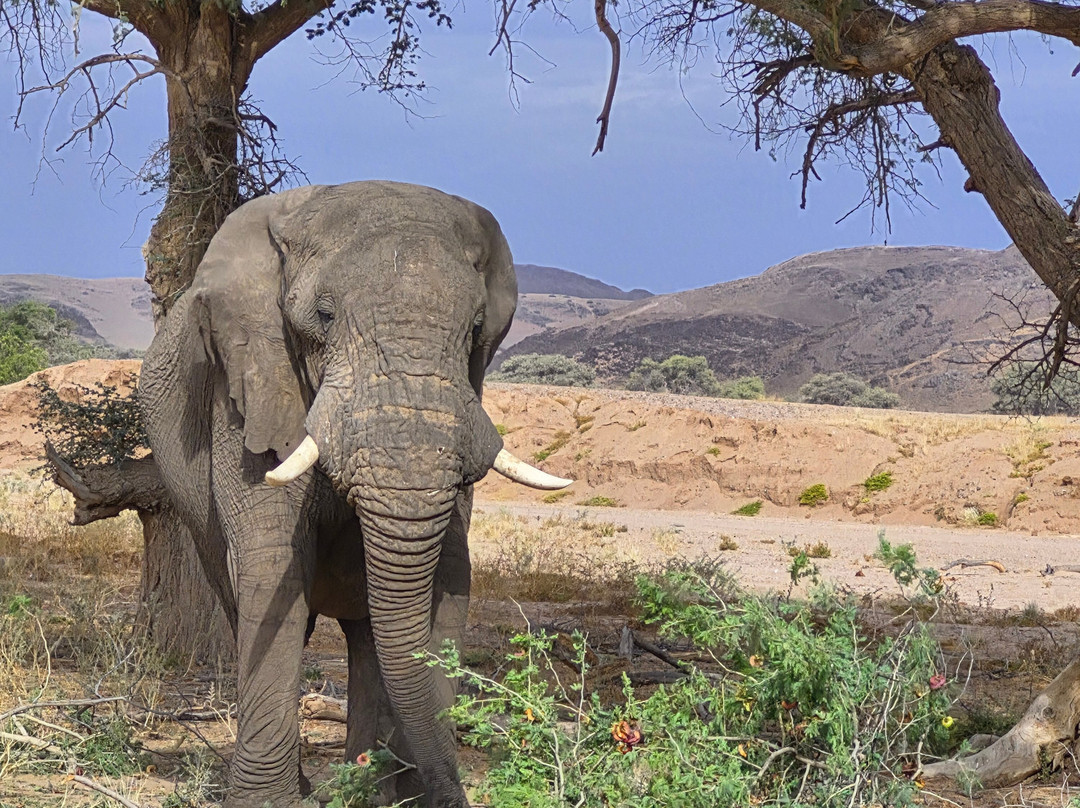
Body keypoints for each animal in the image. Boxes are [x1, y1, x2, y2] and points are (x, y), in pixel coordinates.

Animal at [138, 181, 570, 807]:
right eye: (323, 316)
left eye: (475, 330)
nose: (456, 795)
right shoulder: (249, 386)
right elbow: (275, 570)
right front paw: (268, 803)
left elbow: (448, 576)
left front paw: (414, 793)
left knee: (367, 634)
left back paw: (367, 786)